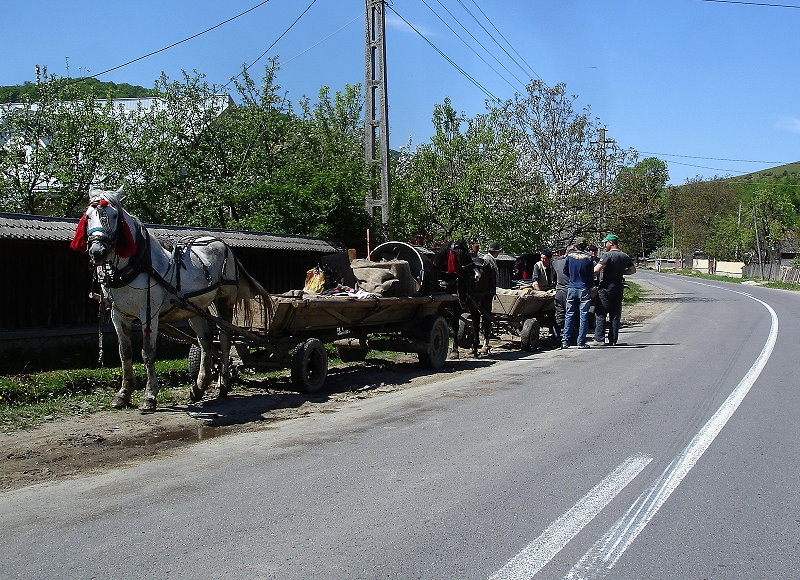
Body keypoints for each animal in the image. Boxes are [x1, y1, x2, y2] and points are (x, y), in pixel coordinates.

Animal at [69, 187, 268, 412]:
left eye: (113, 216)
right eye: (87, 217)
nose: (97, 252)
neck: (136, 265)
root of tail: (223, 244)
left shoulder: (149, 314)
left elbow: (147, 353)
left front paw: (149, 396)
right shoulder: (118, 315)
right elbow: (125, 353)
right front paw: (123, 394)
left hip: (224, 301)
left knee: (225, 339)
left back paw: (223, 385)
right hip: (195, 308)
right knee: (206, 342)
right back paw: (199, 387)